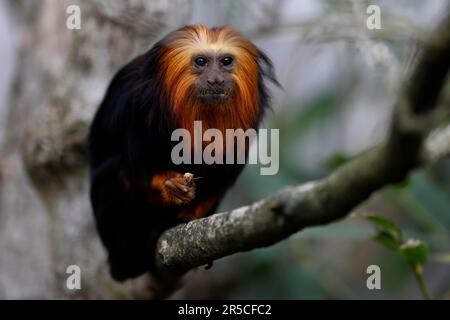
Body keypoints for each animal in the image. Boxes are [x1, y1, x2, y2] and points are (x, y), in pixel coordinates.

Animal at [88, 24, 278, 280]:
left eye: (226, 61)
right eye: (201, 61)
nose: (216, 80)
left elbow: (217, 181)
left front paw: (189, 216)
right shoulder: (140, 110)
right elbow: (137, 169)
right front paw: (170, 185)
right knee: (114, 171)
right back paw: (128, 260)